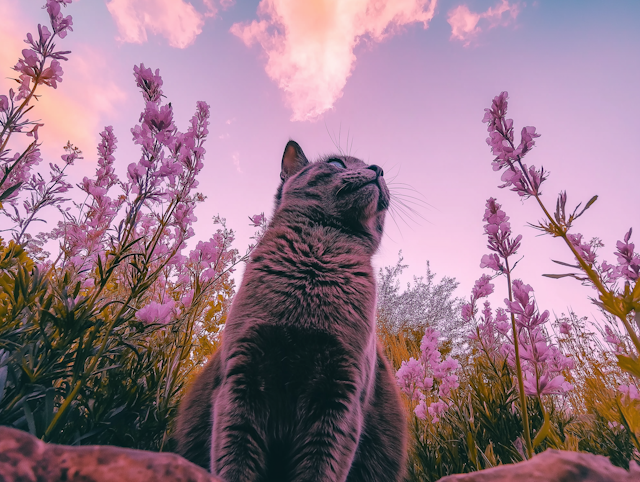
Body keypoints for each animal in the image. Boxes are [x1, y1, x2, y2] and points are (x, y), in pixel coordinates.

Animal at [175, 140, 404, 482]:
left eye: (378, 169)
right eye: (336, 164)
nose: (378, 169)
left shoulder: (340, 395)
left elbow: (320, 468)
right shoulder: (242, 377)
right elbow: (236, 460)